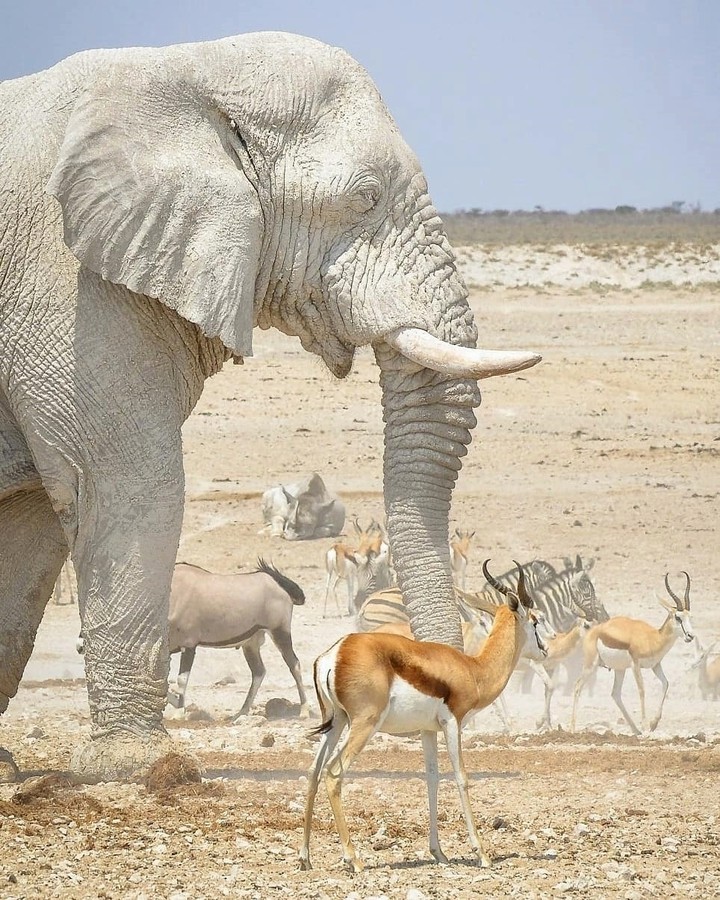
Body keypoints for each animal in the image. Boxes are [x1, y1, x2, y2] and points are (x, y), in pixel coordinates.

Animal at [0, 31, 540, 782]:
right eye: (364, 198)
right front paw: (140, 769)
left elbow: (26, 524)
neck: (188, 67)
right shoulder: (68, 288)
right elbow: (129, 484)